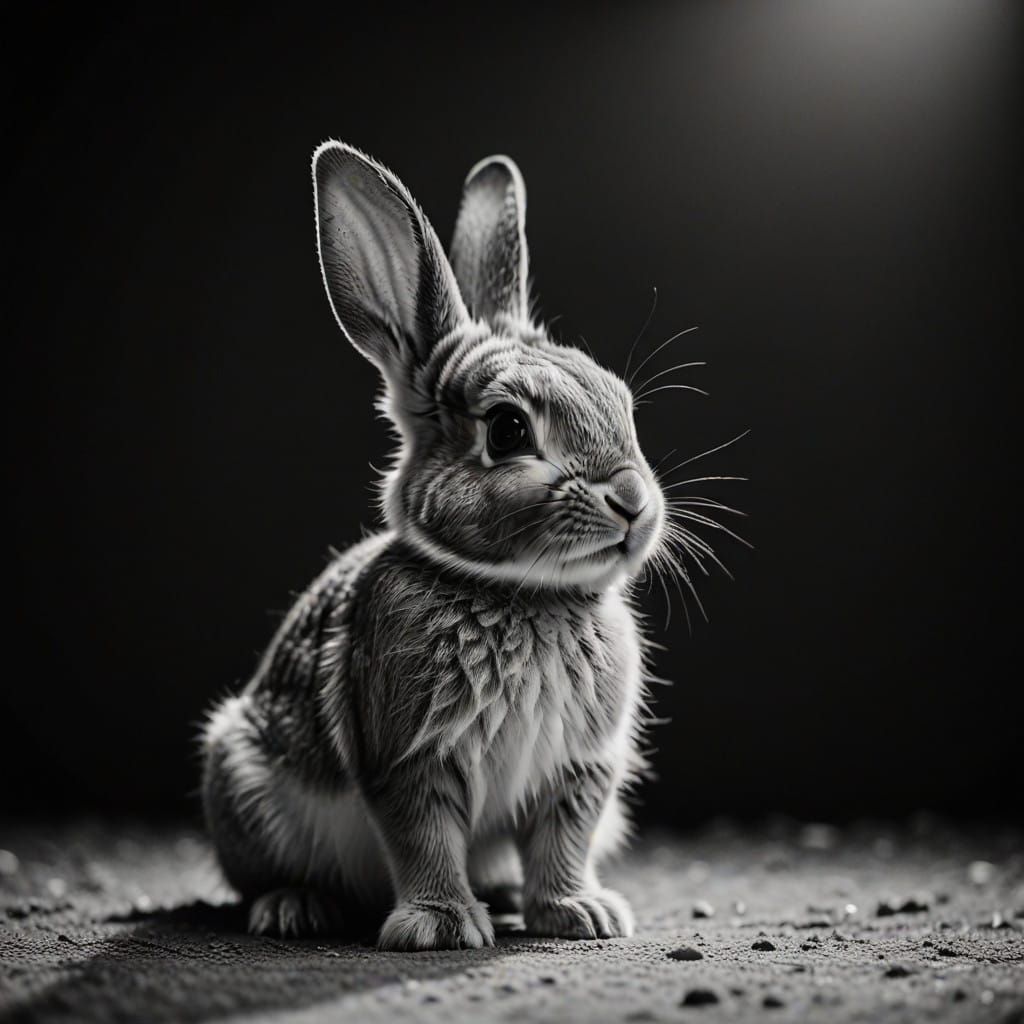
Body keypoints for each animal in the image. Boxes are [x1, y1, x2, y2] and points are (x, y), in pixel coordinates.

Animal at [201, 142, 669, 951]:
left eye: (619, 399)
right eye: (507, 430)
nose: (634, 504)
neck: (519, 591)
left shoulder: (581, 765)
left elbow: (563, 839)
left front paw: (581, 913)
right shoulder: (411, 756)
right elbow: (425, 837)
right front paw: (444, 925)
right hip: (245, 784)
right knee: (263, 875)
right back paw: (295, 907)